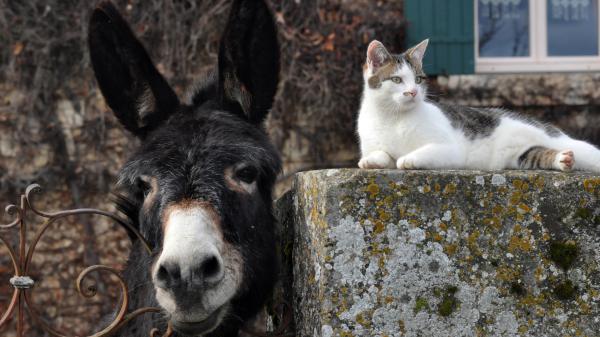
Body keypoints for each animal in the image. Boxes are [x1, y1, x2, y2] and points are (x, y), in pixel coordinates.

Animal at [356, 38, 600, 172]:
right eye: (397, 80)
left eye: (418, 79)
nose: (413, 92)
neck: (392, 117)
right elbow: (380, 154)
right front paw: (370, 161)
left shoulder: (450, 149)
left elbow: (416, 153)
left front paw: (407, 159)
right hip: (519, 157)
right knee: (539, 154)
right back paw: (563, 160)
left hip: (558, 140)